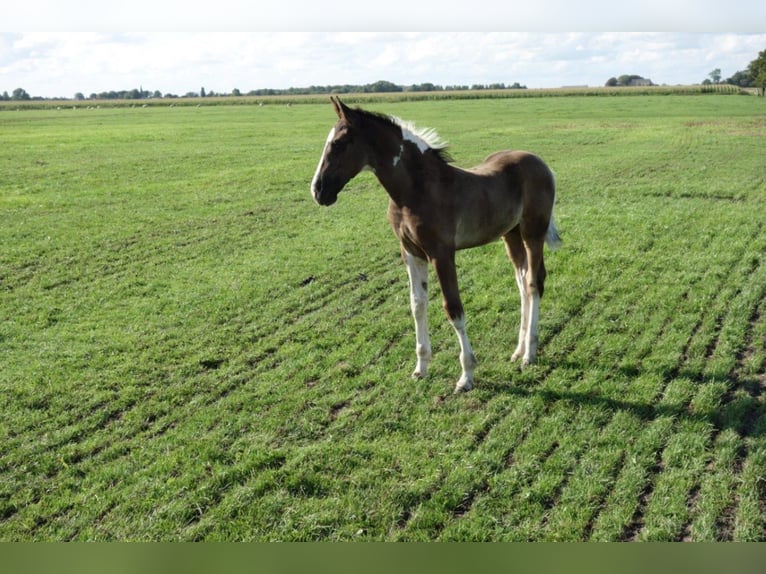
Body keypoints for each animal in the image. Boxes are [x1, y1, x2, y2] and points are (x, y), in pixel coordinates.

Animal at [308, 98, 560, 396]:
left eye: (338, 144)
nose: (318, 191)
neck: (417, 191)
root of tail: (540, 163)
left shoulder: (441, 254)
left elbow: (453, 308)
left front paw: (466, 376)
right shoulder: (411, 253)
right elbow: (417, 304)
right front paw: (421, 368)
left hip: (533, 232)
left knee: (534, 282)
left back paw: (529, 355)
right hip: (510, 234)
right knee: (521, 281)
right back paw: (517, 350)